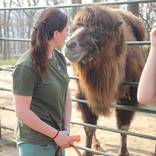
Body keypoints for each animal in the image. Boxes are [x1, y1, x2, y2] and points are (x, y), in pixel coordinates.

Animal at [62, 4, 146, 156]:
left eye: (99, 32)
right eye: (75, 28)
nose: (69, 45)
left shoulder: (130, 96)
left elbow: (123, 127)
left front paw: (123, 152)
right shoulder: (85, 95)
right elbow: (89, 126)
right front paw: (87, 152)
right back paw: (96, 145)